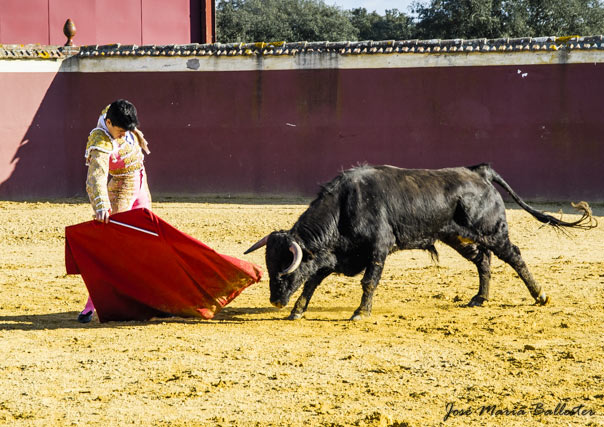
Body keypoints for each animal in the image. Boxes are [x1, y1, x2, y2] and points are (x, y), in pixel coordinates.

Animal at [245, 166, 596, 320]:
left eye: (285, 269)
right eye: (269, 265)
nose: (275, 301)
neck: (345, 206)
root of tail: (480, 172)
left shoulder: (378, 247)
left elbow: (369, 282)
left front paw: (360, 313)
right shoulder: (333, 256)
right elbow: (312, 282)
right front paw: (297, 312)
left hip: (493, 231)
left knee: (514, 256)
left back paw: (540, 296)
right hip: (457, 236)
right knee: (483, 260)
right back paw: (479, 298)